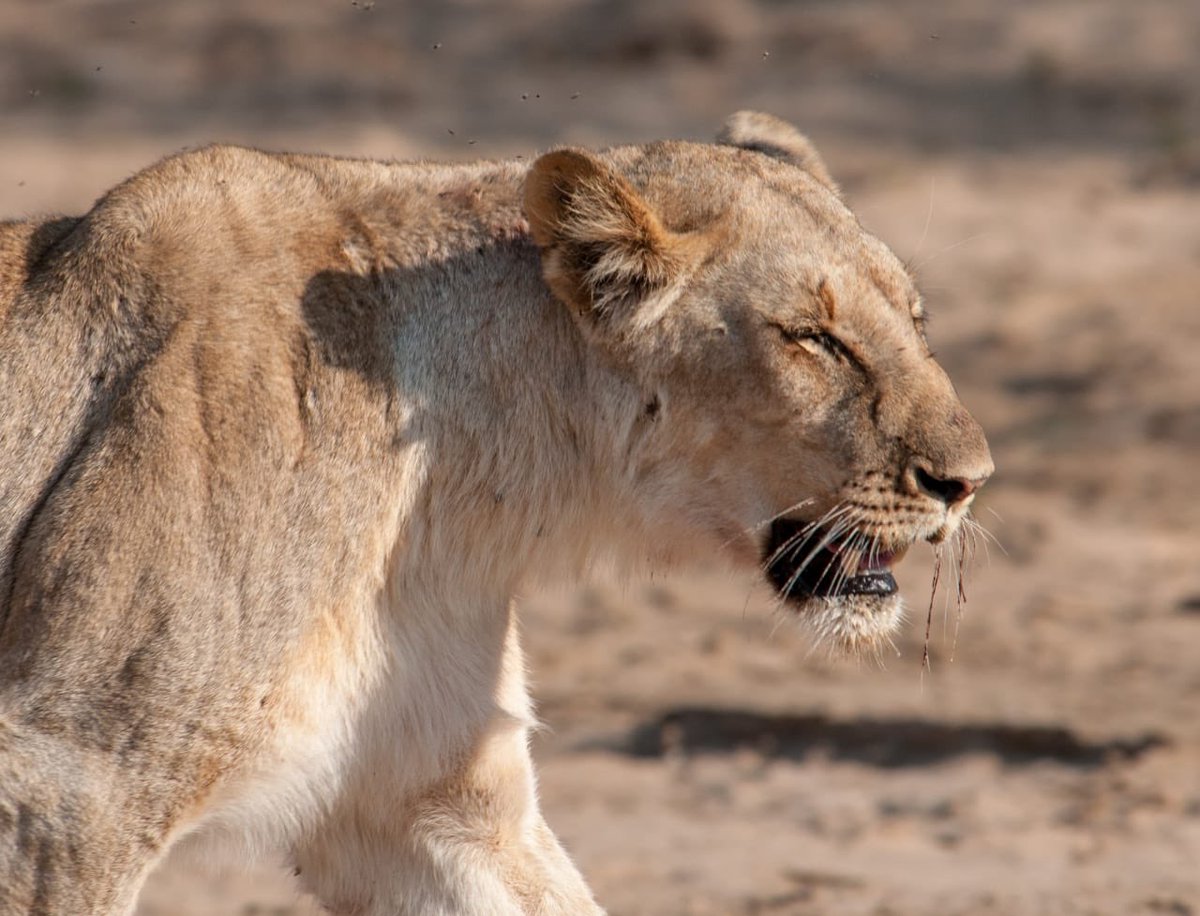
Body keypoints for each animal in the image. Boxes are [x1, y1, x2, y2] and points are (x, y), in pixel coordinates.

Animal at [0, 112, 991, 914]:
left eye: (916, 319)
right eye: (816, 339)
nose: (971, 480)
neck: (458, 501)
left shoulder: (427, 800)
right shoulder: (69, 784)